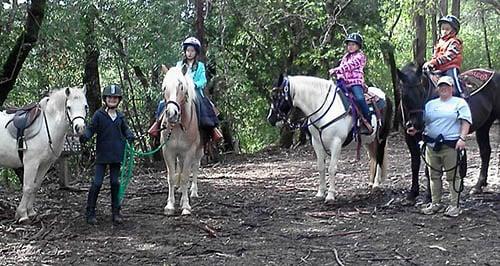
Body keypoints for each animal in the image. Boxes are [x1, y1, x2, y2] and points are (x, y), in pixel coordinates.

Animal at [0, 87, 87, 222]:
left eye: (85, 106)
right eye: (68, 107)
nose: (80, 127)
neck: (48, 126)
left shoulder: (45, 164)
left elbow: (35, 186)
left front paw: (31, 212)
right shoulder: (31, 163)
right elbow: (27, 187)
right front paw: (22, 214)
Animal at [160, 66, 203, 216]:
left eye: (181, 86)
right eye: (164, 87)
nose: (171, 113)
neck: (178, 127)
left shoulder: (190, 151)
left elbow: (185, 177)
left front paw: (185, 206)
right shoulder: (168, 151)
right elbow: (171, 177)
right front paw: (170, 205)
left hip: (199, 151)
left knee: (195, 167)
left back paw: (193, 192)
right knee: (180, 165)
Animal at [268, 74, 392, 203]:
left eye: (278, 96)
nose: (270, 119)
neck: (324, 109)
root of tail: (385, 96)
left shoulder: (336, 143)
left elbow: (332, 168)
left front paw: (330, 195)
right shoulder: (316, 143)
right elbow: (321, 167)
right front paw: (320, 193)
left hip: (381, 138)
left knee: (379, 157)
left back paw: (376, 184)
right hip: (369, 141)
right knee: (373, 157)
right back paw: (371, 183)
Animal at [398, 62, 500, 202]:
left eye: (422, 92)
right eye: (404, 95)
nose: (417, 123)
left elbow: (428, 167)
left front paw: (429, 195)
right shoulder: (409, 137)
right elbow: (415, 164)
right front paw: (412, 193)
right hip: (484, 125)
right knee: (485, 151)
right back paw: (478, 185)